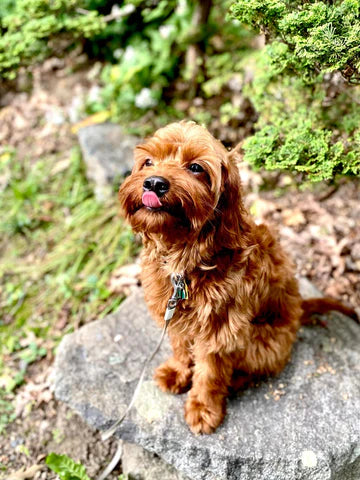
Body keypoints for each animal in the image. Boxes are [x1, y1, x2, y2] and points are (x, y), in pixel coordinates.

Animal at [118, 121, 358, 436]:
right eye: (148, 162)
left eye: (195, 167)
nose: (154, 183)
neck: (186, 261)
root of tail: (299, 308)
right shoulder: (176, 314)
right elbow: (181, 346)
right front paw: (178, 371)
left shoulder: (220, 330)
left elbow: (209, 372)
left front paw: (203, 407)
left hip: (263, 342)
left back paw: (234, 382)